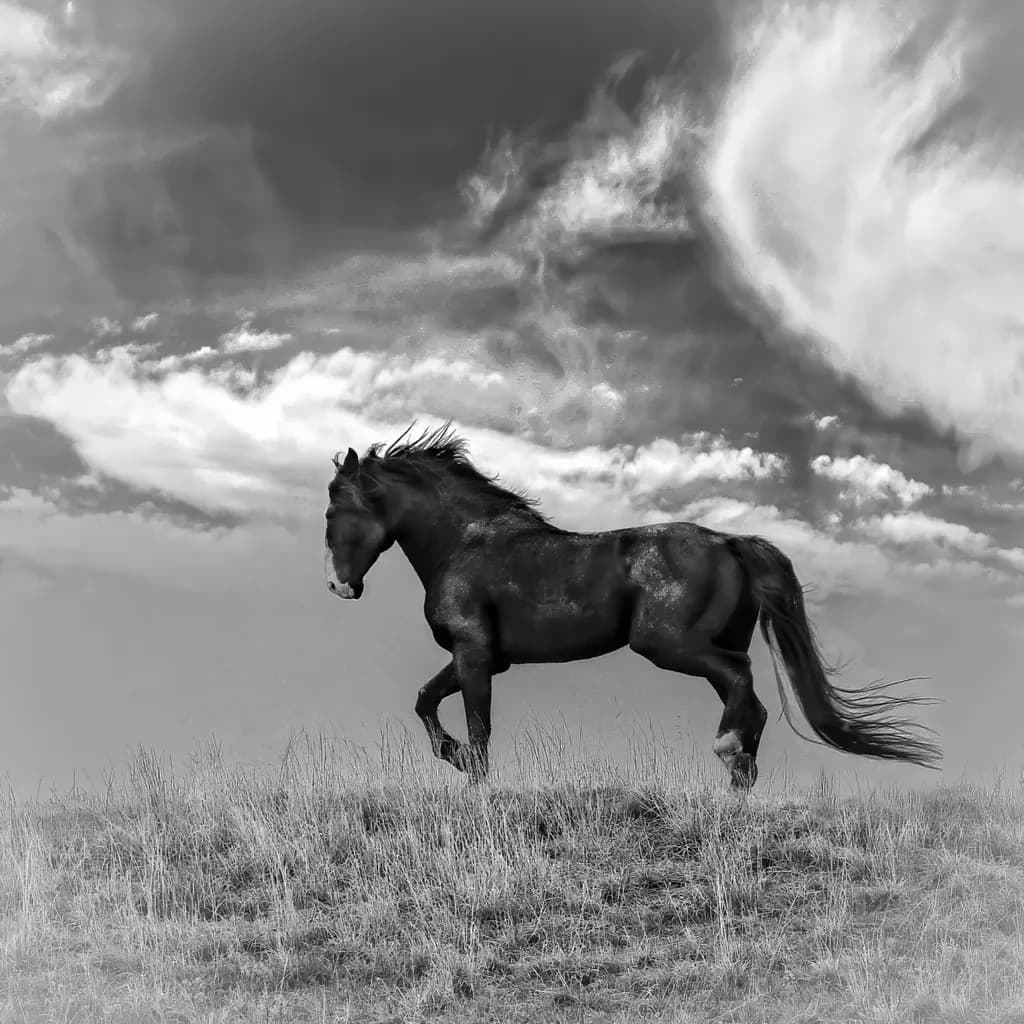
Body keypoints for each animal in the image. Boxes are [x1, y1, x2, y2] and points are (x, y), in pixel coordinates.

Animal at [323, 425, 940, 787]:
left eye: (334, 511)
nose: (338, 587)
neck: (465, 542)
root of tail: (728, 541)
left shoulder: (474, 655)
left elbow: (478, 733)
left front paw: (471, 779)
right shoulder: (477, 657)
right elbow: (426, 702)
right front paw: (451, 755)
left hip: (668, 644)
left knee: (743, 683)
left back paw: (727, 750)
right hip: (700, 644)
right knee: (753, 702)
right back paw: (739, 776)